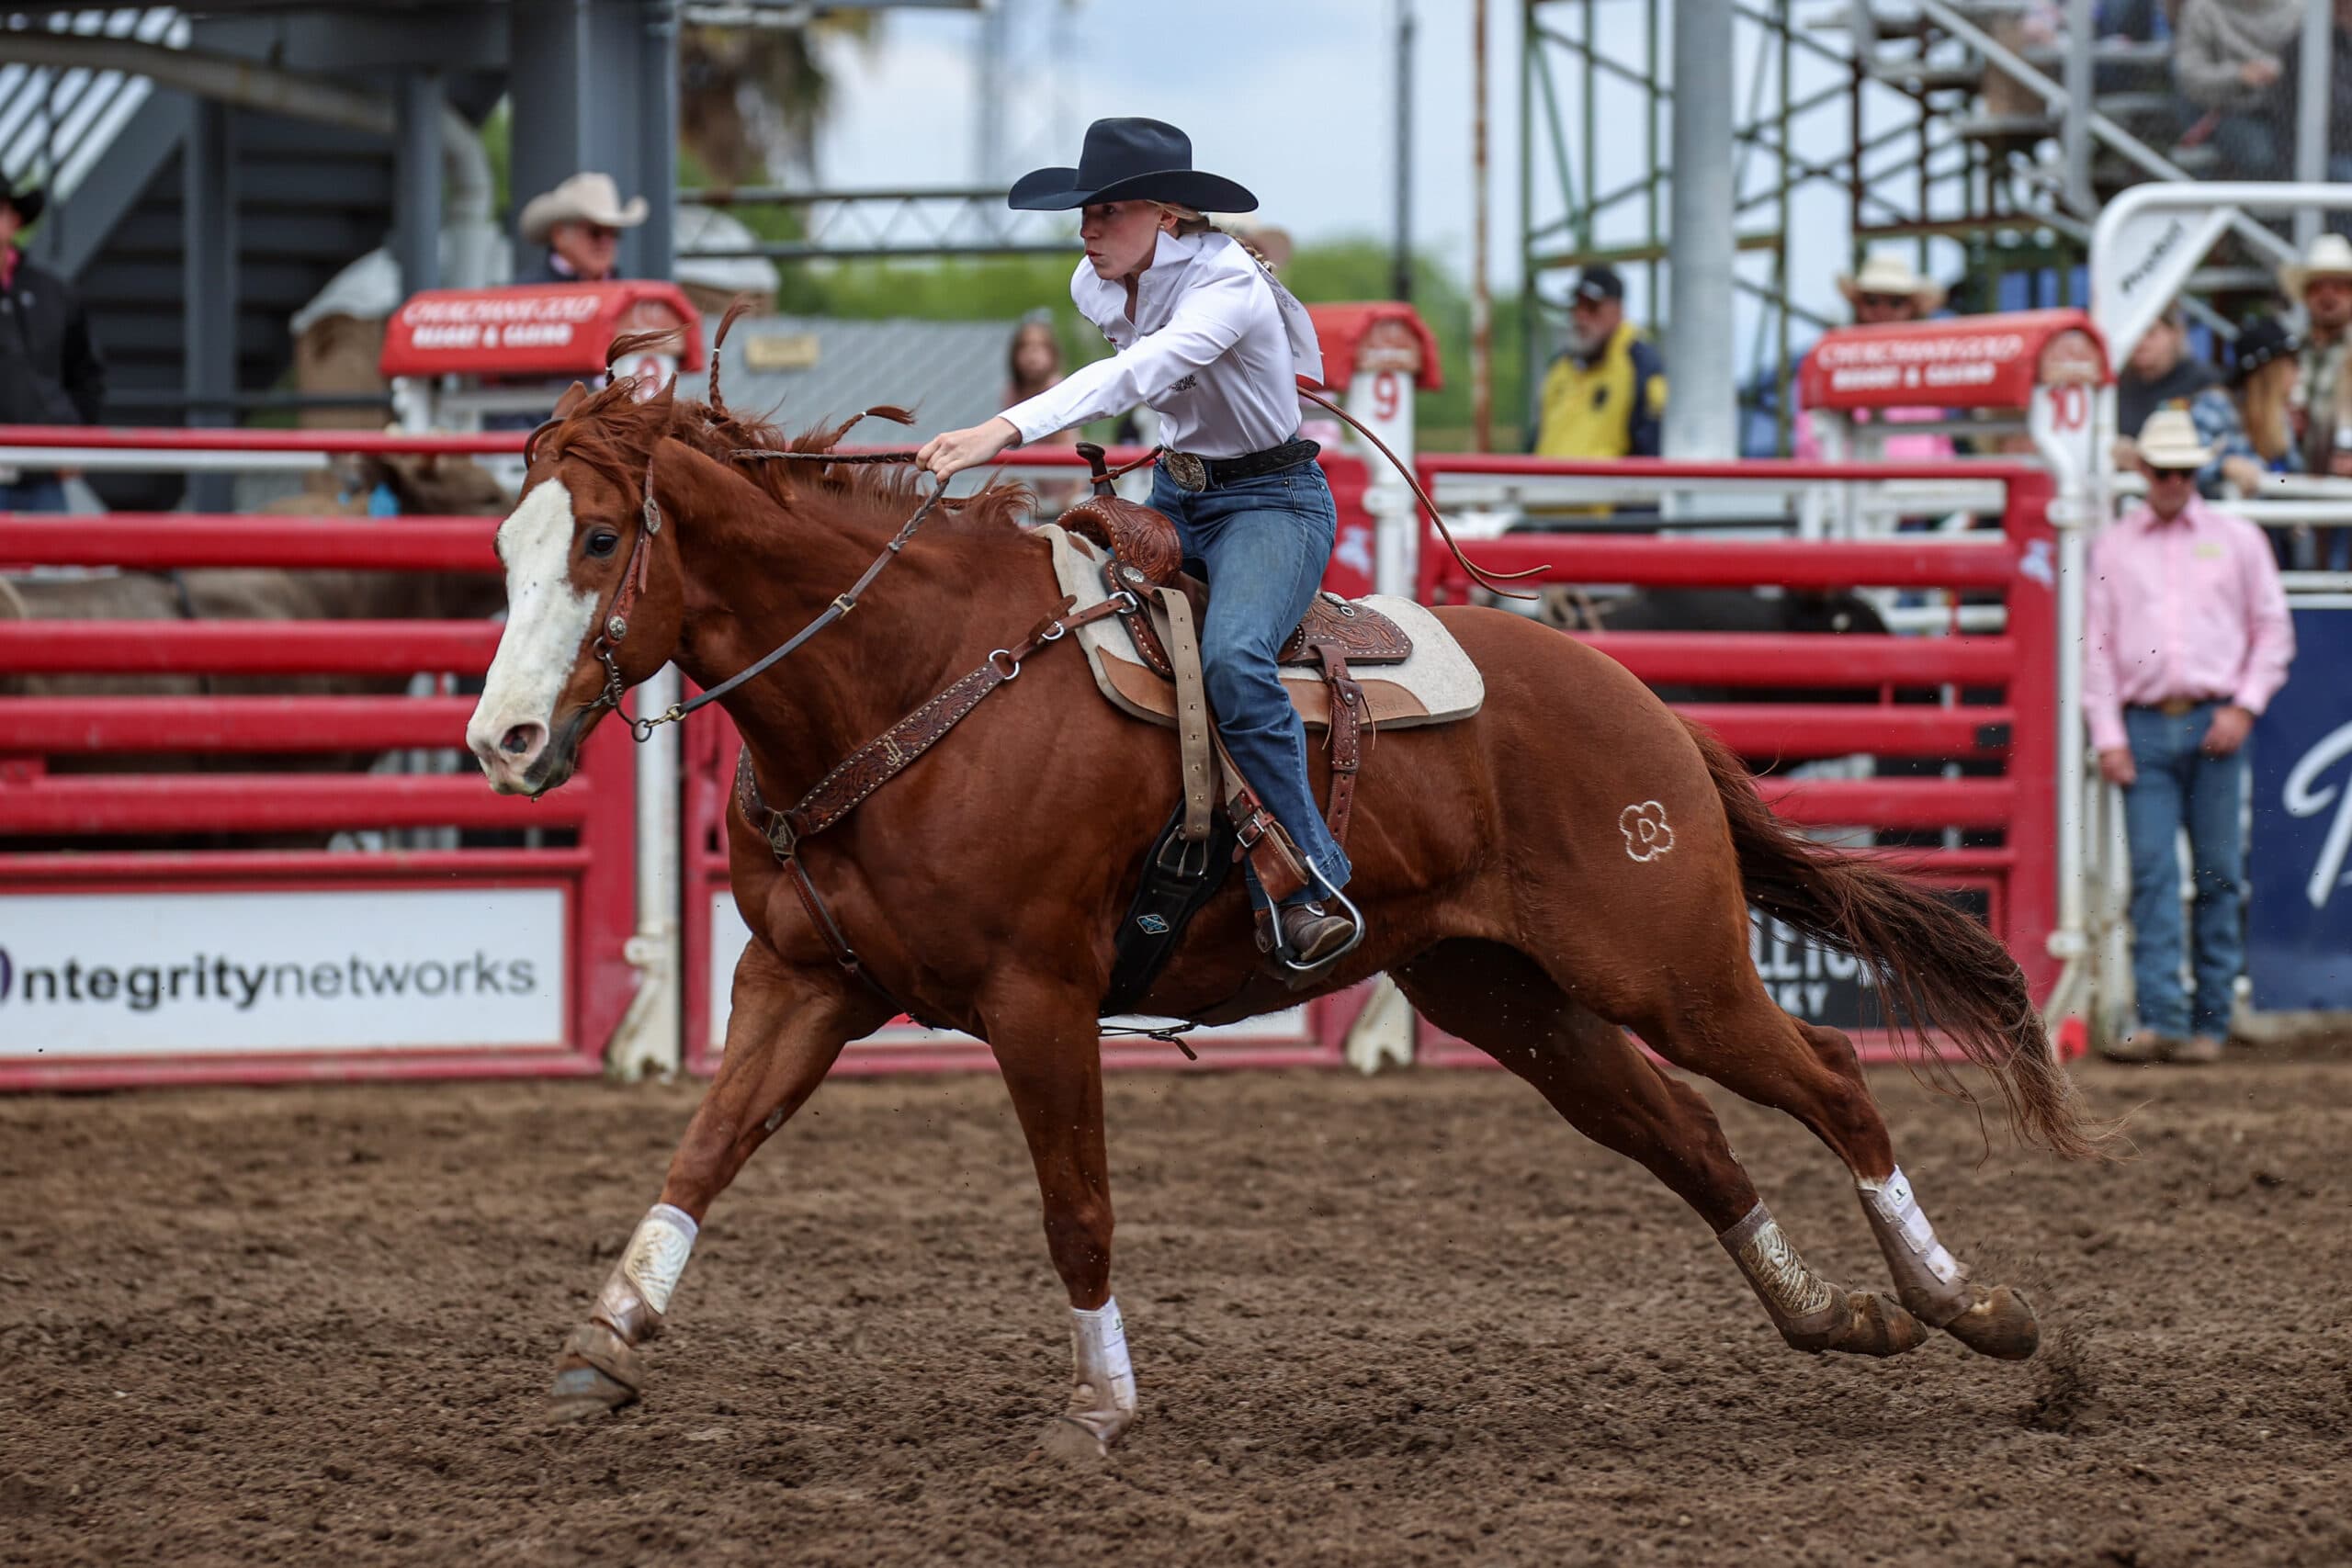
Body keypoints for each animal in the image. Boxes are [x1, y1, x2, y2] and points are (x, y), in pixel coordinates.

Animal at [464, 364, 2106, 1456]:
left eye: (599, 541)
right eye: (505, 547)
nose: (501, 739)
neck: (911, 675)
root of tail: (1644, 705)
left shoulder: (1039, 997)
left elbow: (1076, 1206)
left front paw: (1100, 1404)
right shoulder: (802, 980)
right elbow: (705, 1146)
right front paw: (604, 1337)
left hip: (1675, 965)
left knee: (1830, 1082)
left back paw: (1979, 1308)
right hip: (1505, 993)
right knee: (1687, 1134)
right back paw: (1836, 1314)